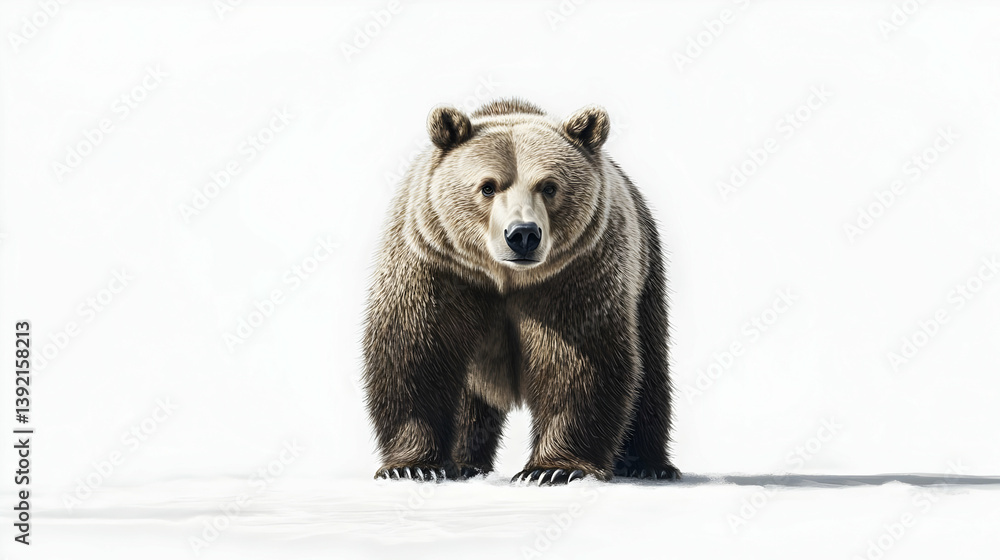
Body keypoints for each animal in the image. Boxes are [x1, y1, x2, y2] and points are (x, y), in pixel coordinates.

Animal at [363, 98, 678, 485]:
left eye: (549, 186)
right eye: (488, 186)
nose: (523, 234)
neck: (504, 278)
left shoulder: (576, 274)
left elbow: (581, 361)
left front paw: (552, 468)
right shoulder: (436, 266)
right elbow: (413, 353)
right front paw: (412, 465)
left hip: (645, 272)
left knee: (650, 369)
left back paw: (649, 464)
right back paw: (464, 463)